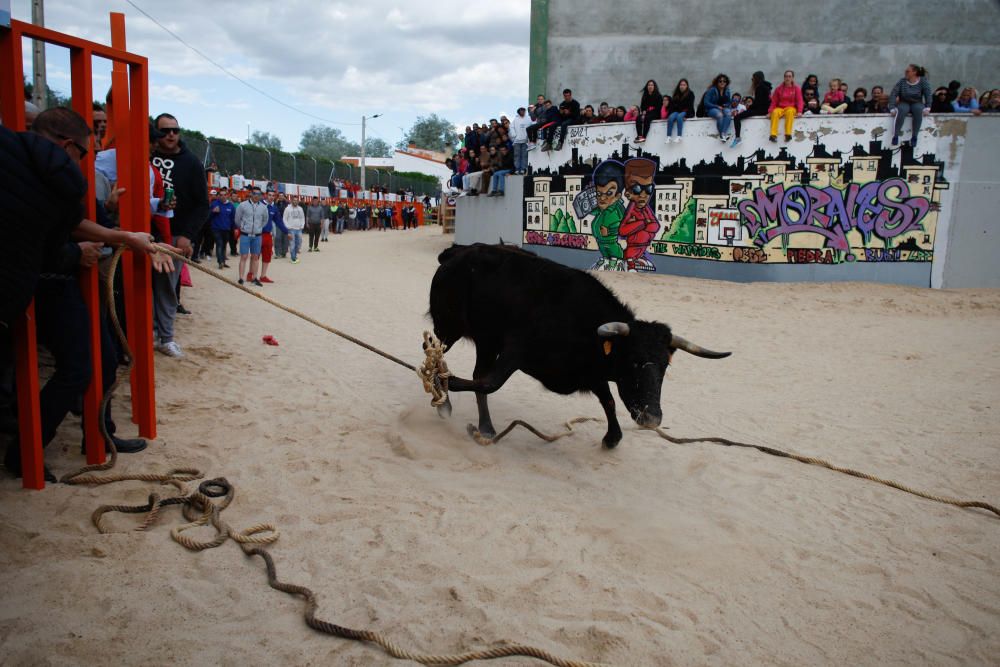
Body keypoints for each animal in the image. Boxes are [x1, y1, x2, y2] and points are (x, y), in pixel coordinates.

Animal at [426, 245, 732, 448]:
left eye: (665, 366)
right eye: (633, 360)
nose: (652, 418)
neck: (583, 325)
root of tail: (455, 253)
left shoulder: (592, 372)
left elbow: (609, 400)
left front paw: (611, 437)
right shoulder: (516, 350)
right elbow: (491, 382)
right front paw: (447, 382)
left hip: (486, 340)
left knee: (477, 373)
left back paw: (484, 426)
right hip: (449, 329)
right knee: (439, 356)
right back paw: (448, 401)